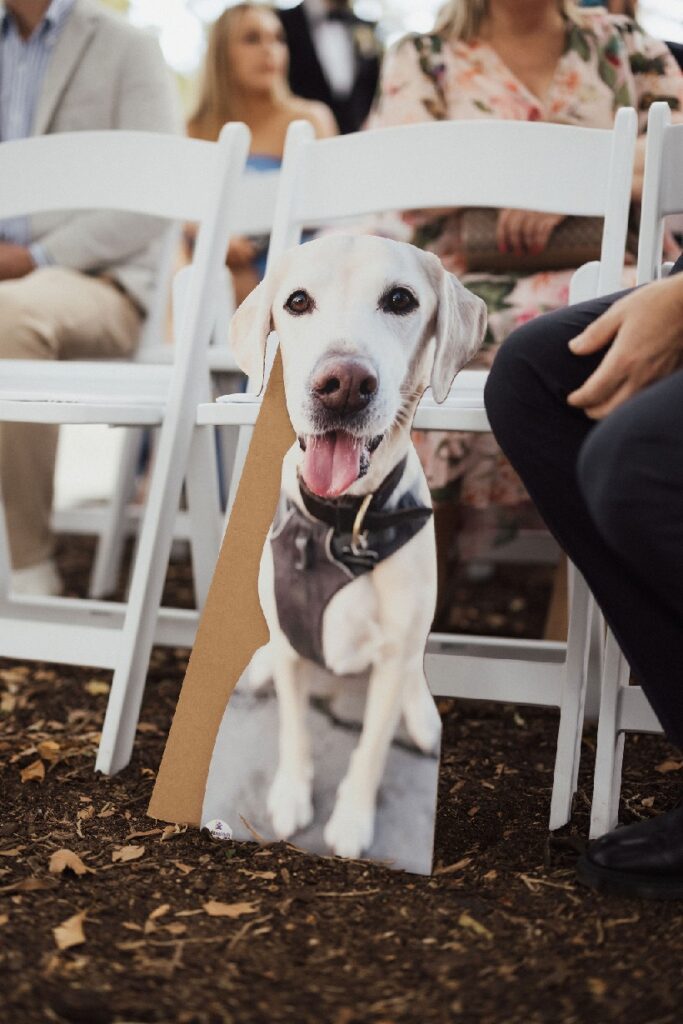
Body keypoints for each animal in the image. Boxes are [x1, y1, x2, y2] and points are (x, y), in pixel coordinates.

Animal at [229, 235, 485, 860]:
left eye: (400, 300)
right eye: (297, 301)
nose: (343, 384)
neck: (343, 524)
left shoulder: (392, 659)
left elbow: (370, 748)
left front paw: (350, 821)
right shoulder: (293, 643)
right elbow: (294, 728)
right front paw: (292, 795)